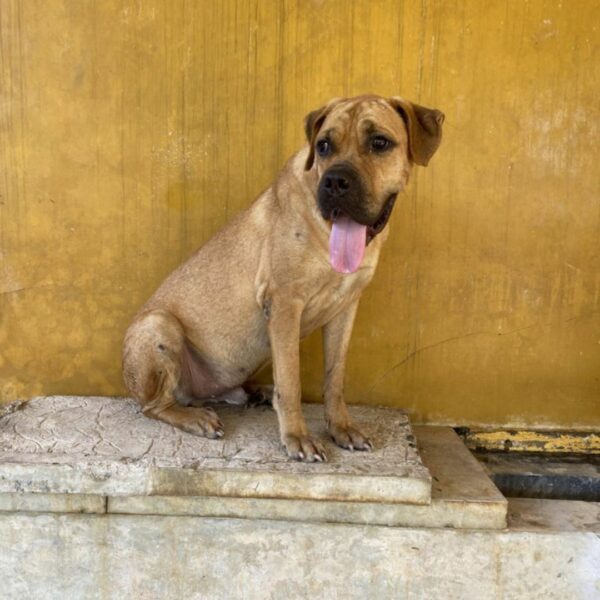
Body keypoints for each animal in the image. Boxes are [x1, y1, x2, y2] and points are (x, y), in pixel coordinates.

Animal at [123, 94, 440, 462]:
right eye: (324, 145)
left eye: (379, 142)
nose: (335, 182)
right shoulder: (286, 304)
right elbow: (291, 381)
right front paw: (297, 436)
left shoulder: (345, 307)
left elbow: (335, 377)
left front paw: (341, 427)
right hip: (158, 325)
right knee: (154, 405)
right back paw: (194, 417)